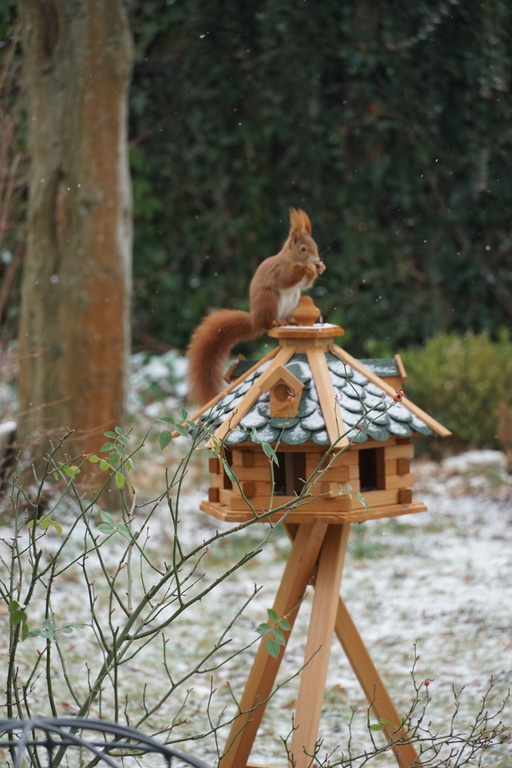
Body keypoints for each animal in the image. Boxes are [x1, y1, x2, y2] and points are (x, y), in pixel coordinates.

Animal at [187, 208, 326, 405]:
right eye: (303, 249)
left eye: (315, 245)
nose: (316, 259)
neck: (291, 258)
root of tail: (255, 320)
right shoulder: (280, 269)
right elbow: (287, 278)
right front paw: (308, 268)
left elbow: (305, 284)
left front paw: (319, 267)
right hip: (269, 297)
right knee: (267, 323)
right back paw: (276, 322)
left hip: (294, 298)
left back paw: (290, 321)